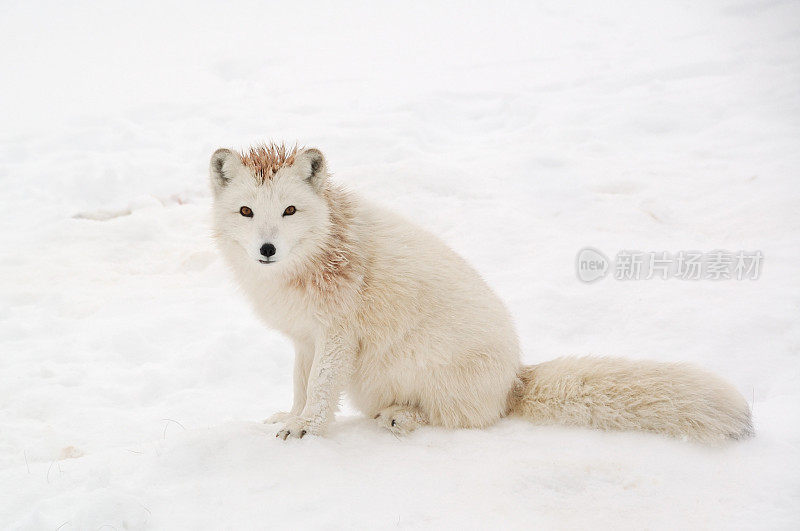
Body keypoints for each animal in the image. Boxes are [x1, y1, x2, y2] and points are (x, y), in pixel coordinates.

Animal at [209, 143, 752, 442]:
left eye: (290, 210)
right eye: (246, 212)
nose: (266, 249)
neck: (318, 252)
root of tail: (515, 379)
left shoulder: (336, 335)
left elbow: (321, 391)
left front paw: (306, 431)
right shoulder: (305, 338)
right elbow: (301, 386)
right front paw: (289, 417)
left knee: (458, 420)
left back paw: (402, 419)